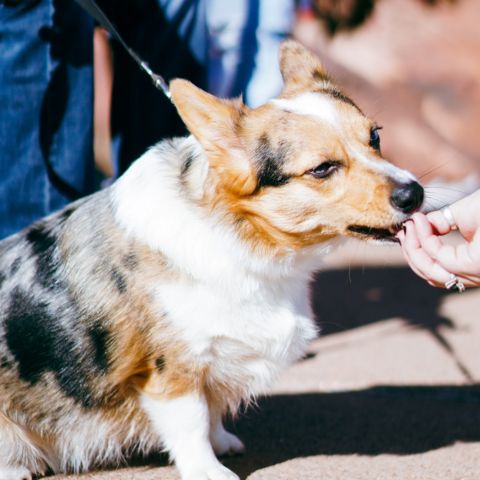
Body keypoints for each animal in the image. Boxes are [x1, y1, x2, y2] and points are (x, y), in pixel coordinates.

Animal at [0, 42, 424, 480]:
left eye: (375, 136)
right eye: (323, 168)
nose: (414, 194)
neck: (246, 240)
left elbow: (212, 412)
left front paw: (223, 442)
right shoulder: (173, 369)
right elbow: (192, 424)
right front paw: (209, 469)